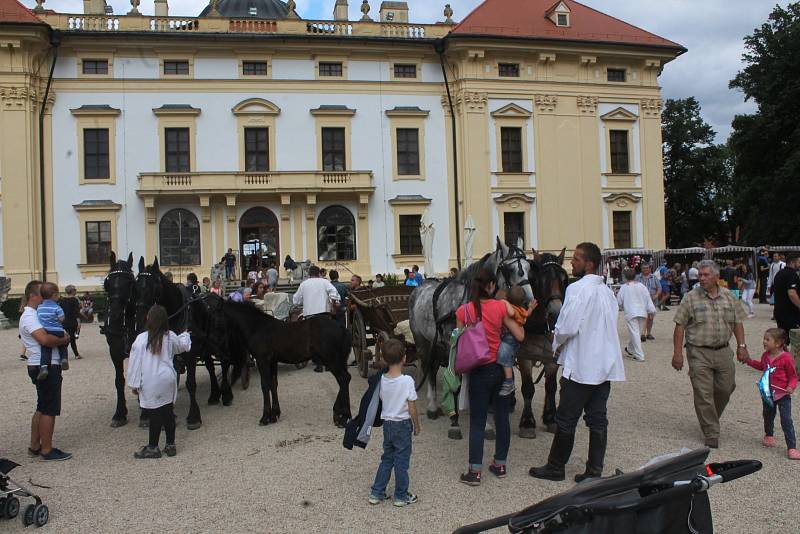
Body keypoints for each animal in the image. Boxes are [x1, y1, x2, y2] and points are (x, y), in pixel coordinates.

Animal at [219, 304, 350, 430]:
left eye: (216, 313)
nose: (222, 350)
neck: (257, 327)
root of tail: (341, 327)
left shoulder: (262, 361)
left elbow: (265, 386)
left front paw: (265, 417)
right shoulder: (272, 362)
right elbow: (273, 384)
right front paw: (274, 415)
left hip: (331, 360)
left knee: (343, 379)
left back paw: (342, 418)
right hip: (340, 360)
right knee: (346, 379)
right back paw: (342, 415)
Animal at [412, 239, 532, 440]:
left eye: (529, 266)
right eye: (509, 269)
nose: (528, 301)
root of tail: (421, 286)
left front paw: (485, 423)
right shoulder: (453, 345)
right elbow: (458, 382)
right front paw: (455, 422)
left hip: (436, 344)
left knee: (433, 366)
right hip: (423, 342)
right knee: (429, 368)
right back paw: (432, 406)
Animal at [516, 250, 572, 440]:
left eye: (564, 278)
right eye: (540, 280)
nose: (556, 310)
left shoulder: (552, 358)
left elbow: (551, 386)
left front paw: (551, 417)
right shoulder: (523, 357)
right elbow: (527, 388)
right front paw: (527, 422)